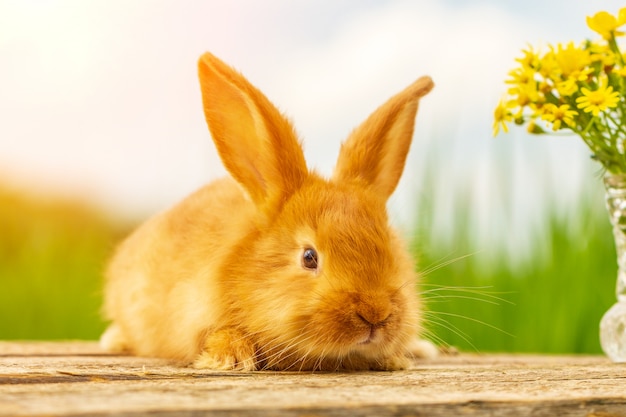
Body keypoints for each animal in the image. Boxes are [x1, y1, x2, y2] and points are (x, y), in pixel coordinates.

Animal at [102, 52, 434, 370]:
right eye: (309, 257)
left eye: (392, 251)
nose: (375, 313)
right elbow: (221, 334)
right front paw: (231, 358)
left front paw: (396, 357)